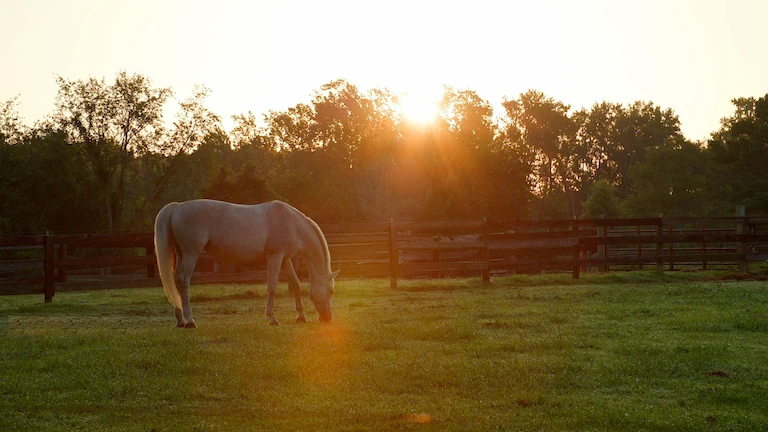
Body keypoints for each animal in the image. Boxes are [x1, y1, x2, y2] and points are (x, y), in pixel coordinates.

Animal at [153, 199, 338, 327]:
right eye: (330, 291)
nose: (327, 318)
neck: (292, 223)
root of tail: (177, 207)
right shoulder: (275, 257)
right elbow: (272, 287)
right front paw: (272, 318)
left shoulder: (285, 260)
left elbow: (296, 284)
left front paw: (301, 316)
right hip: (191, 254)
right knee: (183, 281)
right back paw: (190, 320)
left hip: (181, 255)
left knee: (175, 280)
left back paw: (180, 320)